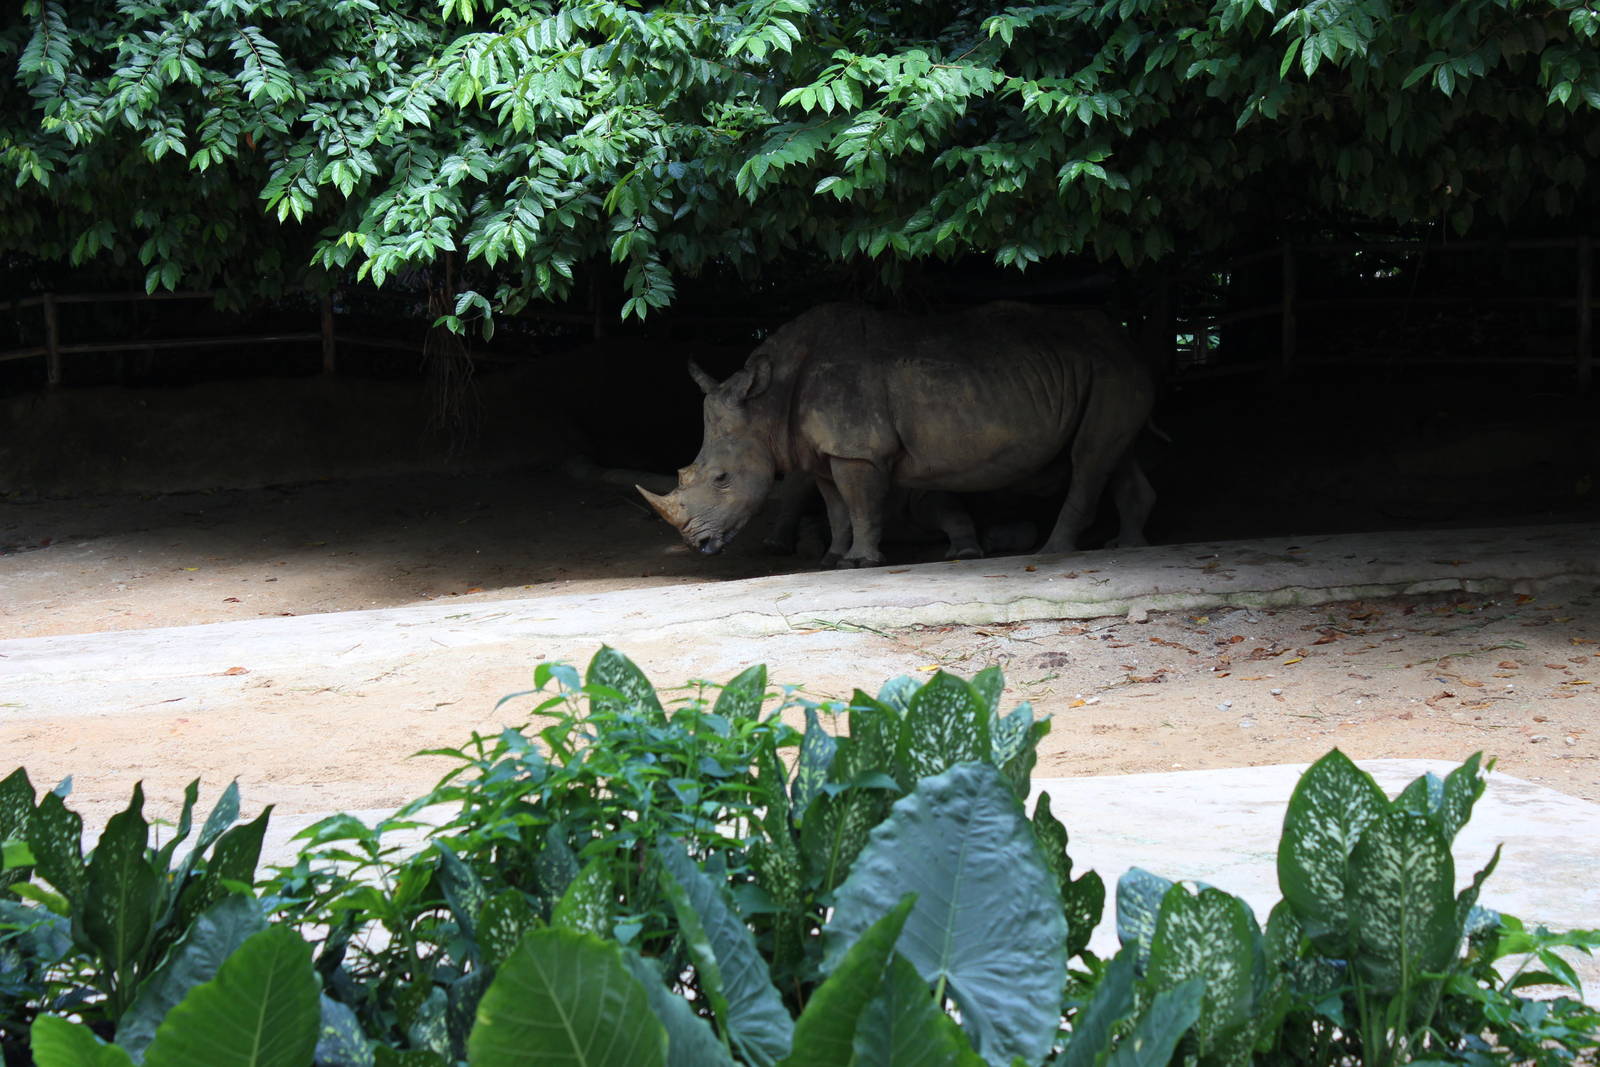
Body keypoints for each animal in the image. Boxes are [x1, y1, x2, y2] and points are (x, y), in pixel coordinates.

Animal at [638, 301, 1156, 567]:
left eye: (722, 479)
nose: (697, 544)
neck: (767, 403)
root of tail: (1127, 341)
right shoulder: (824, 452)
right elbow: (836, 506)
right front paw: (834, 558)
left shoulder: (858, 450)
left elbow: (861, 504)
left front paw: (863, 562)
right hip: (1105, 371)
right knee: (1115, 455)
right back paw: (1127, 546)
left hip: (1109, 370)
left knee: (1088, 460)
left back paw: (1054, 551)